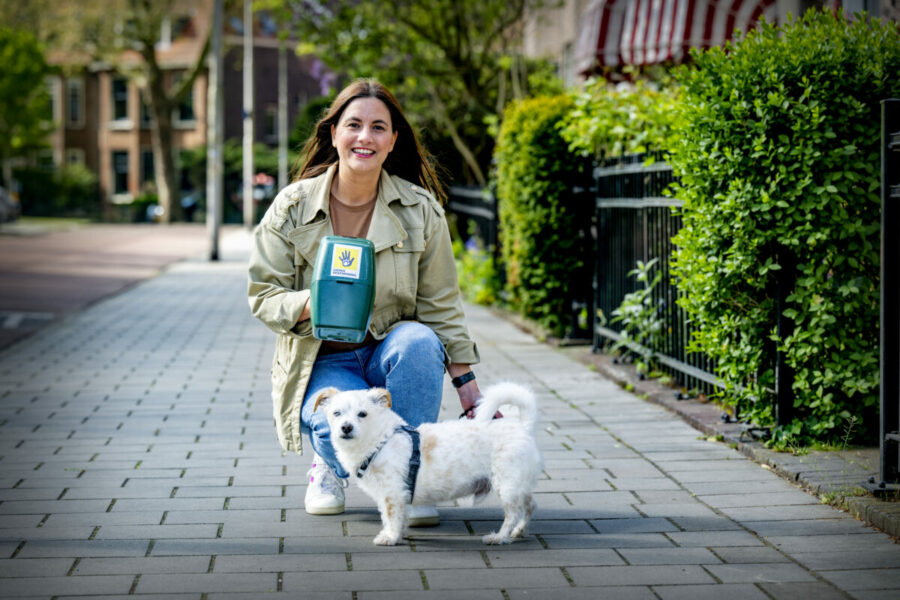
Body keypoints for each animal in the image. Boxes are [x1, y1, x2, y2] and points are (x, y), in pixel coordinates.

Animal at [316, 382, 540, 548]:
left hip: (507, 485)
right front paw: (397, 535)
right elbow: (396, 517)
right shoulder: (395, 495)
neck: (380, 441)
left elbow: (391, 516)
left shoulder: (392, 493)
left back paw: (499, 537)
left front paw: (389, 537)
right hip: (518, 485)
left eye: (362, 414)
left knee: (513, 513)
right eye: (336, 413)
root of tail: (523, 427)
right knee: (529, 506)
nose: (346, 427)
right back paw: (519, 532)